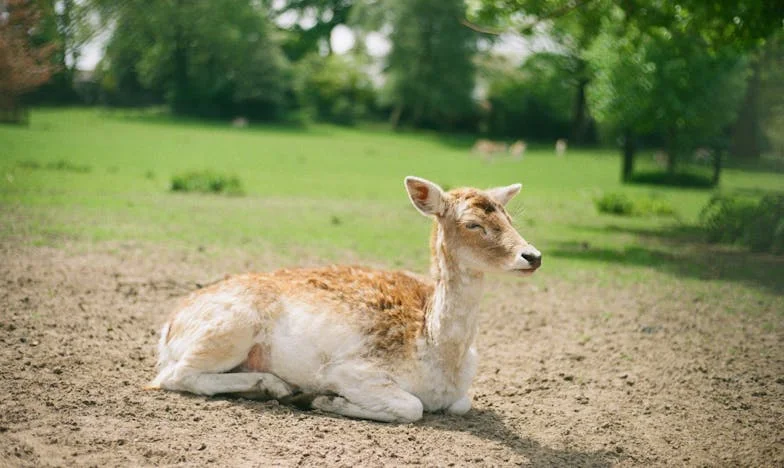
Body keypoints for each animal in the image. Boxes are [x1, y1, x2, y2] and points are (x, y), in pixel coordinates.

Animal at [145, 176, 540, 424]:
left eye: (508, 217)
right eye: (473, 224)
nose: (533, 256)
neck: (438, 353)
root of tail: (169, 327)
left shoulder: (460, 395)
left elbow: (463, 402)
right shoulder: (349, 369)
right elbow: (411, 406)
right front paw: (323, 399)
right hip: (232, 328)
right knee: (174, 376)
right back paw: (280, 387)